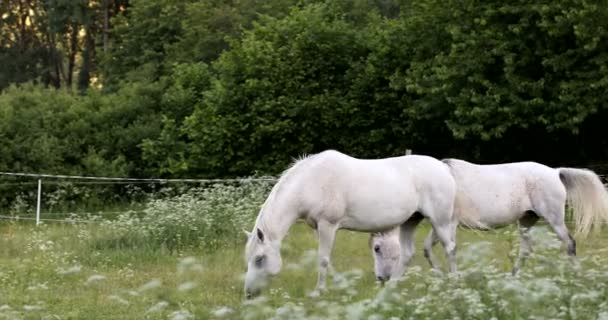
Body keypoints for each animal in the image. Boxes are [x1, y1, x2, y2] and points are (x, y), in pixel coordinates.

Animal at [242, 150, 456, 298]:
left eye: (259, 259)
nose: (249, 294)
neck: (311, 182)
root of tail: (443, 167)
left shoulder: (328, 225)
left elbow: (323, 259)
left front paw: (318, 292)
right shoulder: (319, 228)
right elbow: (327, 260)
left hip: (440, 221)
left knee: (450, 248)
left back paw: (455, 282)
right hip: (411, 221)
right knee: (407, 254)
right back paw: (391, 288)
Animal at [368, 159, 608, 282]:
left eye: (377, 248)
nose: (381, 278)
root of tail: (555, 172)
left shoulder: (447, 223)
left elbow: (436, 248)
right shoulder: (440, 224)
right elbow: (427, 248)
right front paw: (441, 275)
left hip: (554, 218)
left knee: (569, 243)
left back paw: (577, 276)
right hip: (526, 221)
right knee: (526, 250)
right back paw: (512, 277)